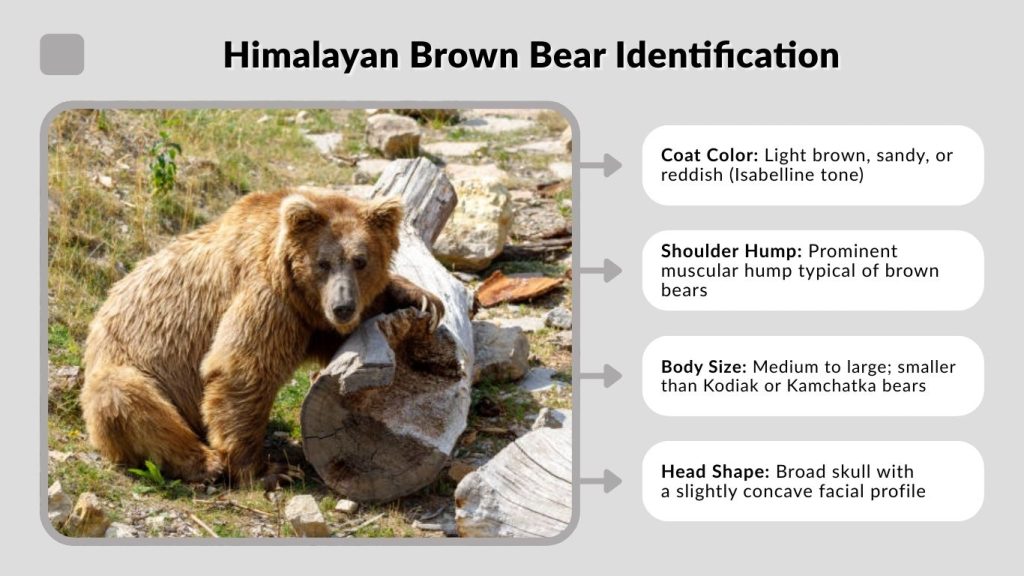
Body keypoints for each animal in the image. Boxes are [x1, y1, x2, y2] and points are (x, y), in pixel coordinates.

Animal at [79, 189, 444, 485]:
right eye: (323, 263)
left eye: (360, 260)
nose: (342, 306)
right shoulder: (268, 296)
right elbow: (242, 369)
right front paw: (269, 471)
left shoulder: (308, 319)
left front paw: (421, 297)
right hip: (129, 368)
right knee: (127, 400)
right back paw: (206, 462)